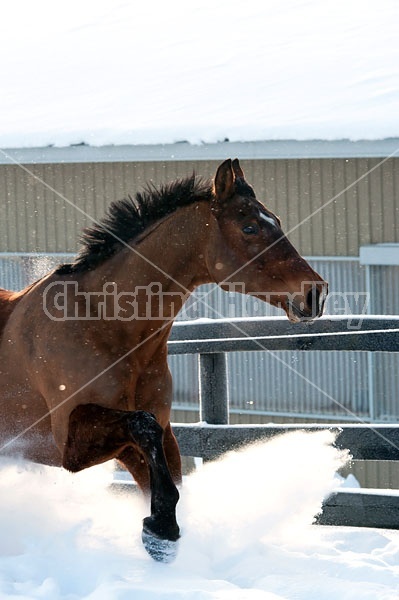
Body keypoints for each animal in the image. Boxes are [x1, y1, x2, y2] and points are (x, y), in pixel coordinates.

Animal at [0, 159, 326, 564]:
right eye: (249, 226)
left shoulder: (150, 437)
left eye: (276, 220)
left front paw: (162, 533)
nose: (315, 293)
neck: (101, 323)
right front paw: (160, 530)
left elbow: (165, 473)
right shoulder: (69, 443)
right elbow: (144, 428)